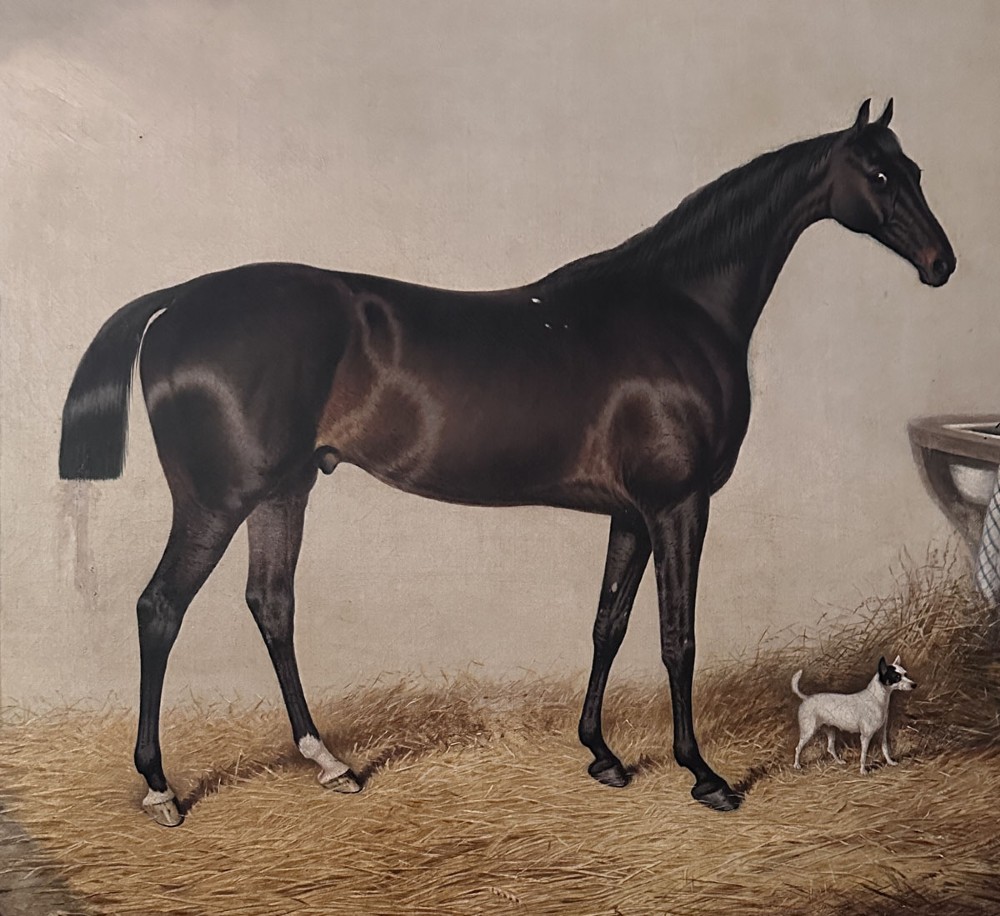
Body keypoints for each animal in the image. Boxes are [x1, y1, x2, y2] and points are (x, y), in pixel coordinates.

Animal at [59, 99, 955, 827]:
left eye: (915, 168)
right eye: (880, 173)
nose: (941, 263)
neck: (677, 309)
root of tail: (179, 301)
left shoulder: (629, 514)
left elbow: (607, 625)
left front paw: (601, 754)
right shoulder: (678, 505)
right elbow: (678, 639)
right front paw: (703, 774)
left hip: (283, 490)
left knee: (270, 606)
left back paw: (329, 762)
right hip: (217, 500)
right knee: (160, 610)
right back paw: (160, 788)